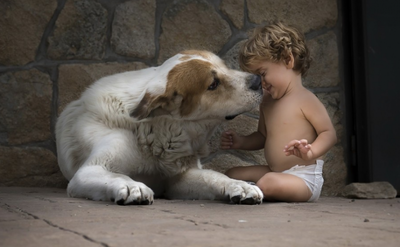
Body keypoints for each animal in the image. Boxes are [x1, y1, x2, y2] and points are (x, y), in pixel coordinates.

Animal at [55, 49, 262, 205]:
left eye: (225, 66)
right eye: (213, 84)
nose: (258, 80)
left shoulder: (178, 179)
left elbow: (213, 176)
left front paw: (239, 184)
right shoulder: (90, 170)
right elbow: (115, 176)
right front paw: (132, 186)